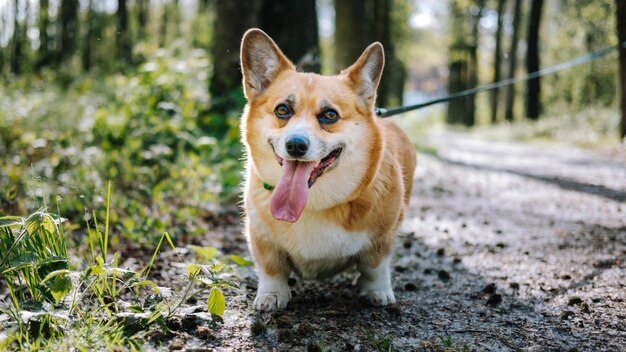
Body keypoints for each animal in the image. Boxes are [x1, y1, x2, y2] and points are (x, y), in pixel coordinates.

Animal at [239, 29, 414, 310]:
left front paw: (376, 292)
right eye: (282, 110)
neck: (313, 204)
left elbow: (375, 266)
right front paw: (272, 295)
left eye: (330, 115)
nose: (295, 145)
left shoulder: (384, 236)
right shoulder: (260, 235)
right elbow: (271, 267)